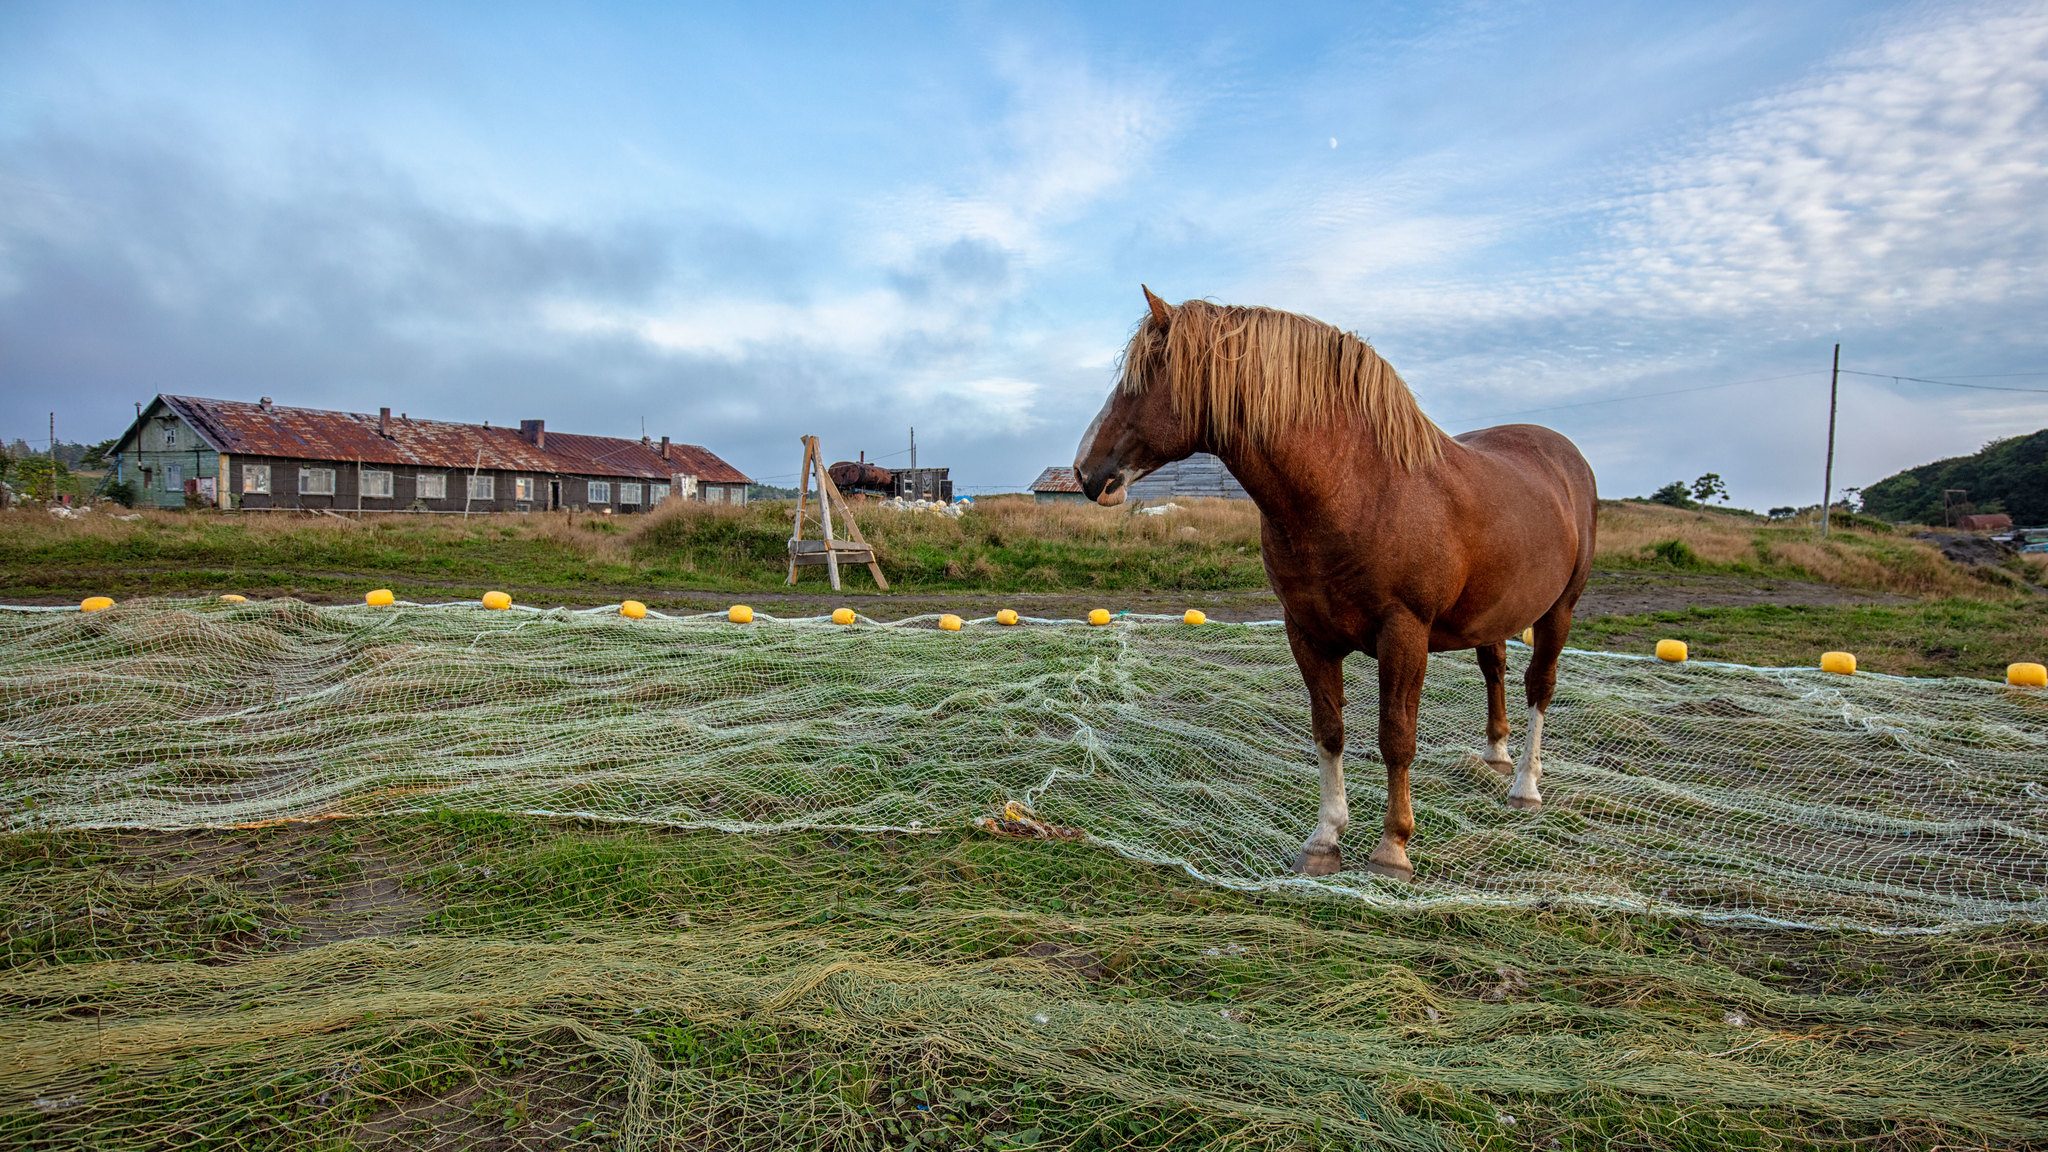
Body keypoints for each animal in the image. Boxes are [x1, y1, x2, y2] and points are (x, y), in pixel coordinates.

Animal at [1081, 289, 1589, 877]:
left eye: (1144, 377)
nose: (1085, 474)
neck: (1354, 489)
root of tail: (1563, 455)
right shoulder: (1307, 633)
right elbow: (1329, 731)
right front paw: (1325, 839)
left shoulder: (1404, 634)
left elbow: (1396, 738)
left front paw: (1393, 845)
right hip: (1493, 614)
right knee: (1495, 670)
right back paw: (1496, 755)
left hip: (1559, 611)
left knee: (1540, 687)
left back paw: (1525, 785)